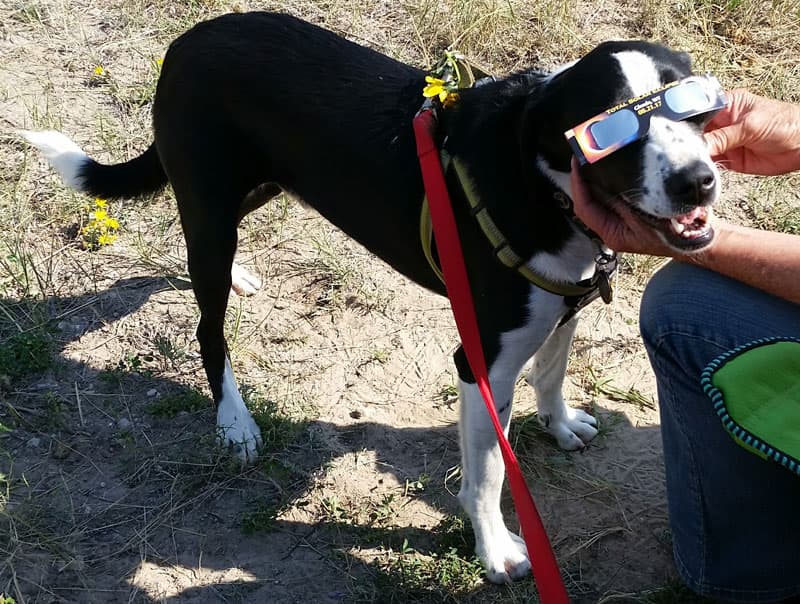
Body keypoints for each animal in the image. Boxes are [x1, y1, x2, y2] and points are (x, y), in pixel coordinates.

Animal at [21, 10, 720, 584]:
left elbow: (551, 374)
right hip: (213, 203)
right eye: (612, 128)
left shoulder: (561, 308)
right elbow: (489, 472)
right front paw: (496, 550)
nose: (697, 183)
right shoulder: (481, 362)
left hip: (256, 187)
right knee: (207, 327)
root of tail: (185, 42)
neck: (538, 179)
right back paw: (235, 421)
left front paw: (560, 423)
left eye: (694, 108)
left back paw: (236, 277)